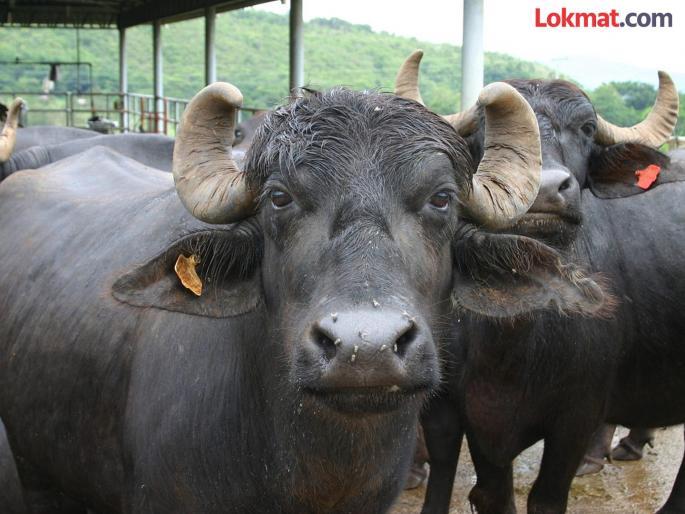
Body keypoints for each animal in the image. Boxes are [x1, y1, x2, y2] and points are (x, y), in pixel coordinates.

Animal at [396, 50, 682, 514]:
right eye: (487, 131)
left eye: (587, 128)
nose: (545, 190)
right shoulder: (473, 419)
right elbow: (492, 493)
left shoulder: (577, 417)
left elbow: (546, 498)